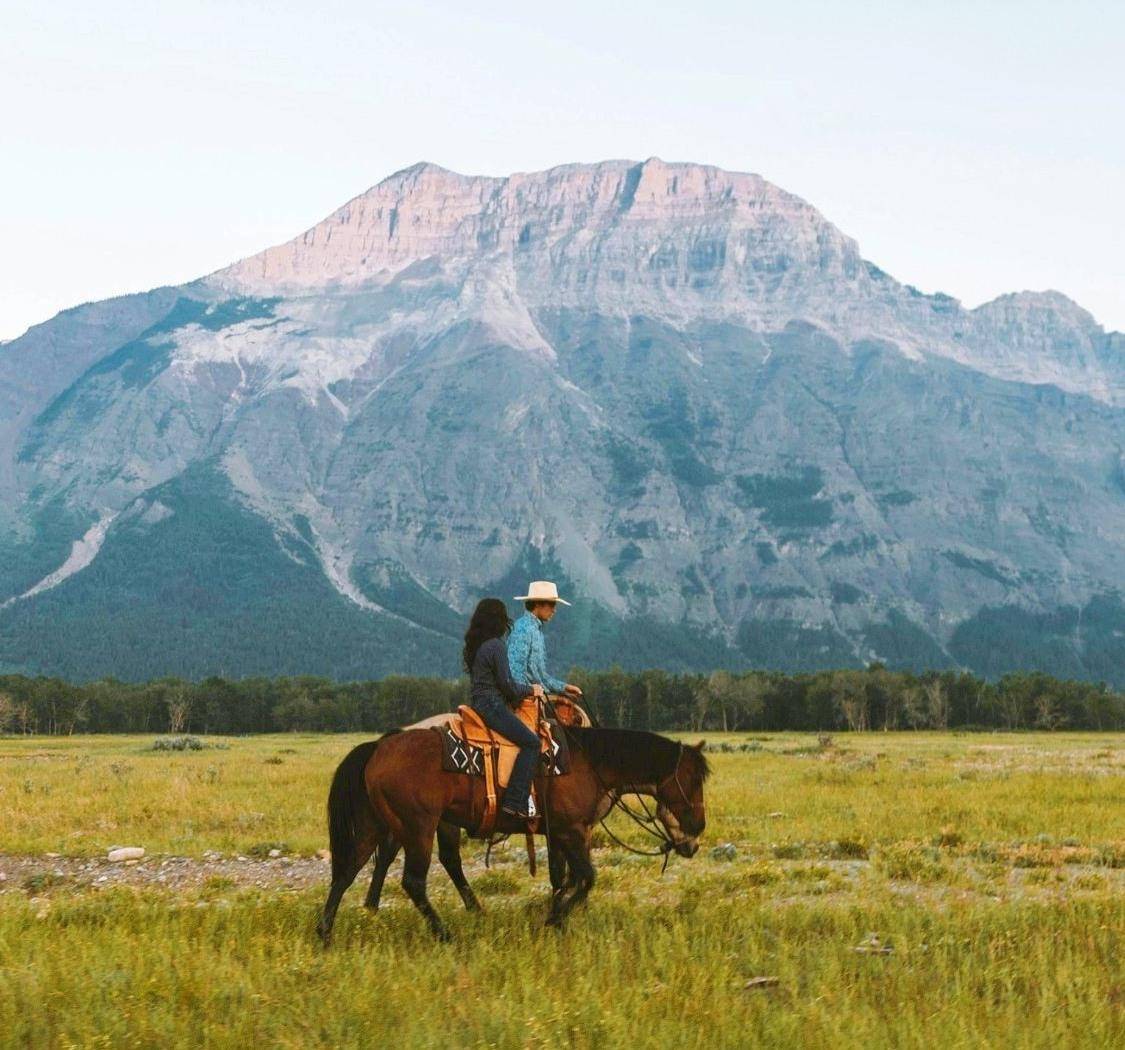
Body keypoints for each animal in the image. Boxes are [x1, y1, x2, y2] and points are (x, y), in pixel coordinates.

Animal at [317, 729, 706, 940]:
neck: (588, 763)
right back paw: (445, 934)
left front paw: (556, 916)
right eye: (691, 781)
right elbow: (586, 878)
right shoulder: (571, 830)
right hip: (418, 827)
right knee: (413, 881)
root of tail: (379, 746)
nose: (698, 831)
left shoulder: (562, 834)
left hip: (378, 824)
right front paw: (553, 920)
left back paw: (325, 933)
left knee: (347, 872)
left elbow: (564, 879)